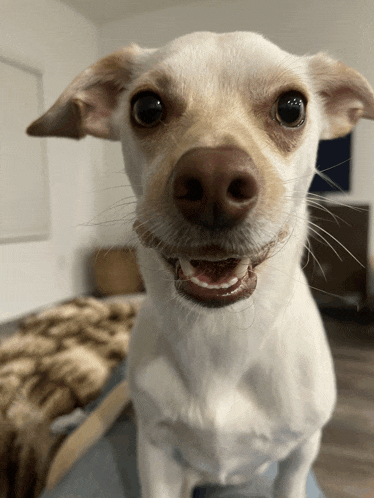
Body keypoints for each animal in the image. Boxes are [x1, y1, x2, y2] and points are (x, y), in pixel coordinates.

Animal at [27, 32, 374, 498]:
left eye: (291, 108)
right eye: (146, 108)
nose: (213, 182)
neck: (221, 336)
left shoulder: (302, 452)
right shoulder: (155, 456)